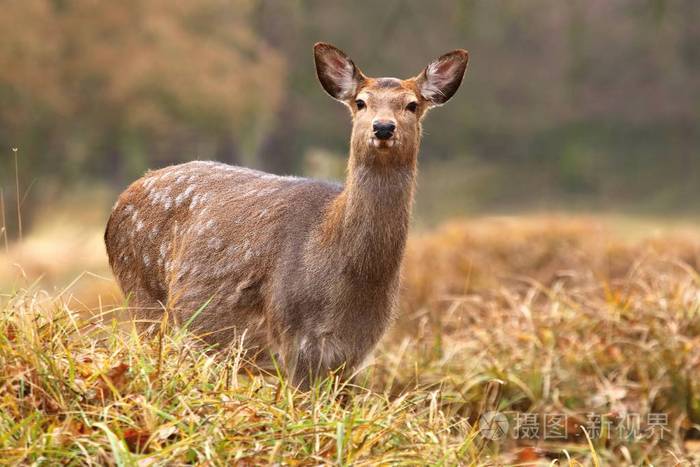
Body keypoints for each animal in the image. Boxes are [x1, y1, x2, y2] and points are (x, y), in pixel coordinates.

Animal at [105, 42, 470, 390]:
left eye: (412, 104)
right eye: (361, 102)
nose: (383, 128)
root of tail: (117, 206)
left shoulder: (355, 352)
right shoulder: (294, 338)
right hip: (143, 296)